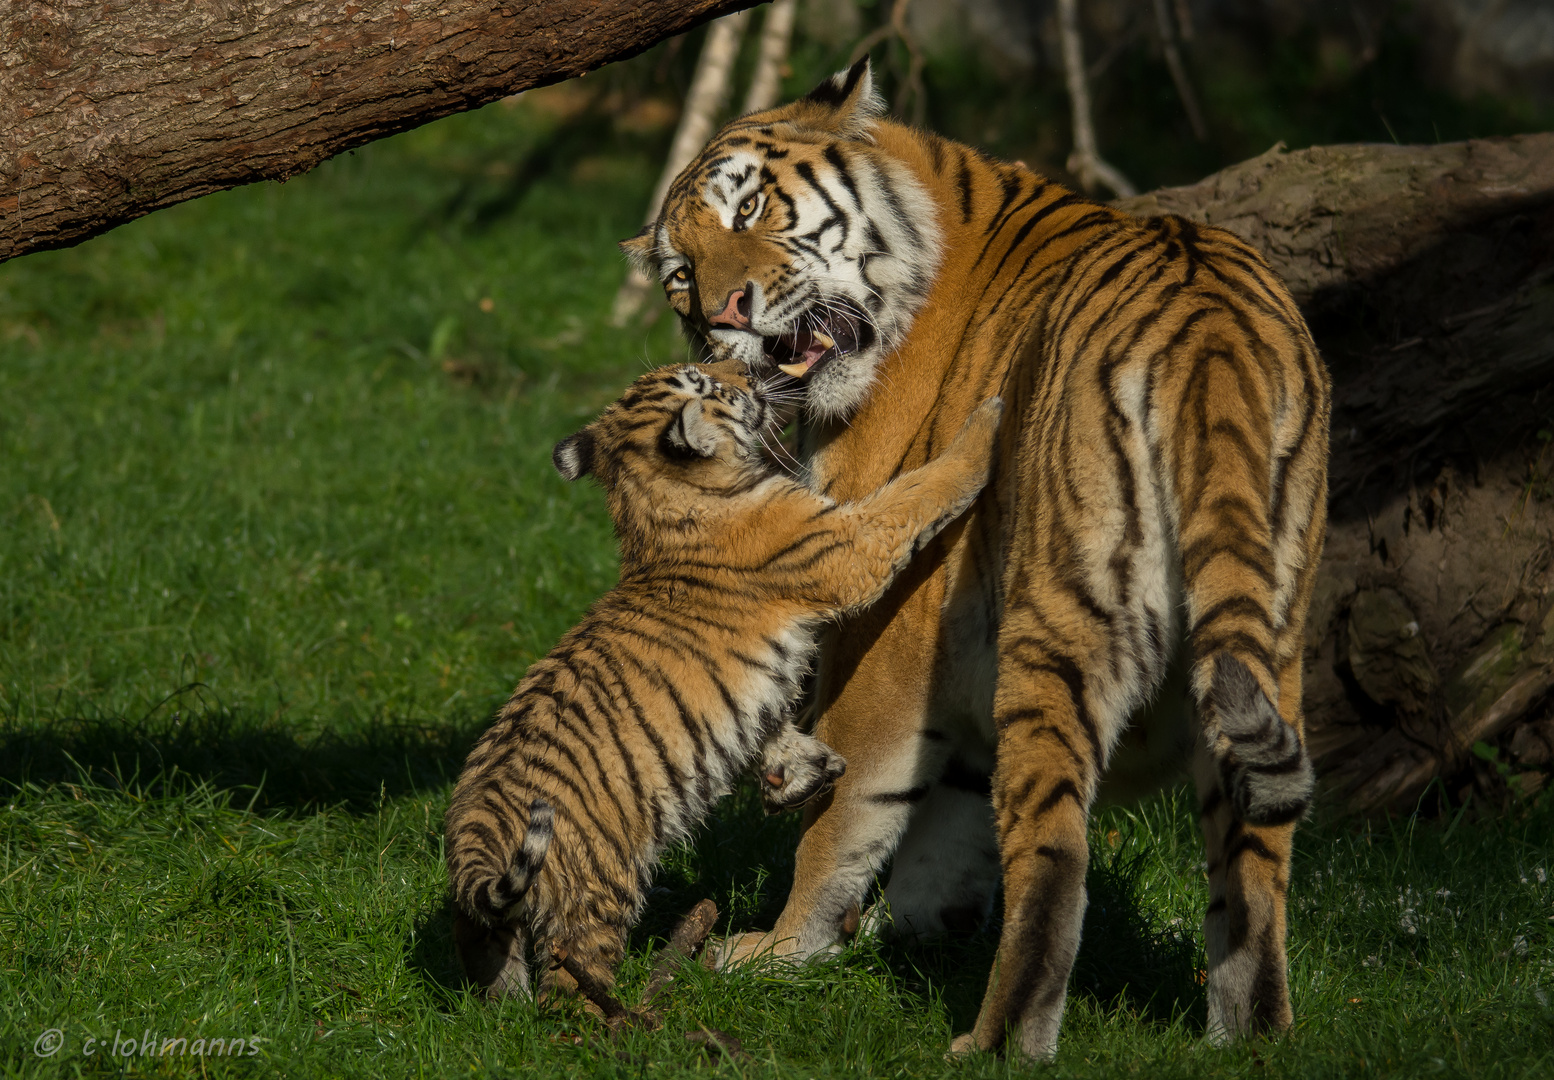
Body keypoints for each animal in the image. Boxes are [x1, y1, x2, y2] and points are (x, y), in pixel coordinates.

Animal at [624, 59, 1330, 1056]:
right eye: (680, 276)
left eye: (749, 207)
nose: (721, 313)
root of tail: (1212, 333)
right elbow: (945, 821)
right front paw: (913, 924)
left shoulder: (887, 629)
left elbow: (845, 812)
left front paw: (779, 950)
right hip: (1271, 642)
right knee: (1257, 864)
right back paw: (1249, 1040)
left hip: (1059, 627)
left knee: (1056, 853)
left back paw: (994, 1043)